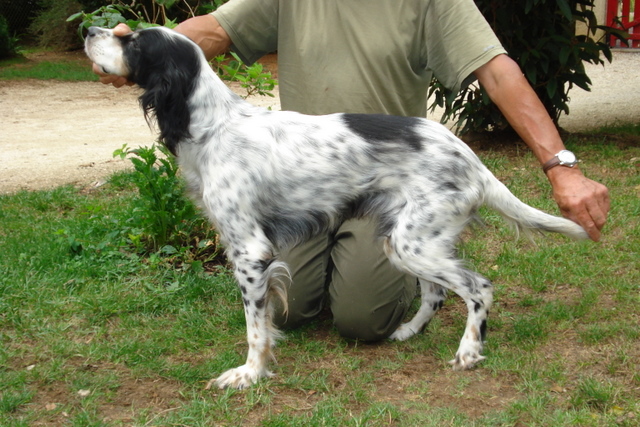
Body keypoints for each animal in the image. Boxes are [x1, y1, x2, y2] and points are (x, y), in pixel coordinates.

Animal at [86, 25, 592, 390]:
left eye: (132, 40)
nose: (90, 28)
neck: (213, 125)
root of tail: (472, 160)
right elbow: (266, 319)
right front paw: (262, 363)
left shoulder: (249, 251)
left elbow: (254, 327)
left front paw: (249, 374)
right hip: (406, 242)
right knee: (436, 293)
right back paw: (407, 332)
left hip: (412, 244)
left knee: (478, 288)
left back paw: (468, 351)